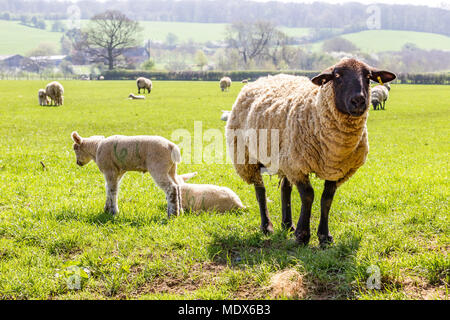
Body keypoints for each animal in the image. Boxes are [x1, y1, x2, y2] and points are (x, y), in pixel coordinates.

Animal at [227, 58, 396, 246]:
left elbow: (326, 199)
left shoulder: (334, 169)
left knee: (285, 189)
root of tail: (264, 78)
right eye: (337, 76)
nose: (358, 100)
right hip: (247, 157)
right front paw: (302, 235)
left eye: (368, 77)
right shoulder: (299, 165)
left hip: (285, 158)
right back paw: (267, 227)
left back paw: (287, 225)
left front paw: (324, 236)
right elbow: (308, 196)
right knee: (260, 191)